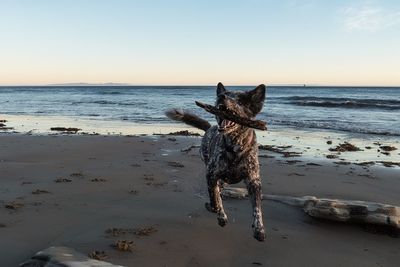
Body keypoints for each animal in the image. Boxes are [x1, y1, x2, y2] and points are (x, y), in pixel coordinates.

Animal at [166, 82, 266, 242]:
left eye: (240, 100)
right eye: (226, 94)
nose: (221, 96)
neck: (234, 147)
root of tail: (209, 128)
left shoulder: (254, 180)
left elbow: (257, 207)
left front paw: (259, 228)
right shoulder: (211, 174)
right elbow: (215, 199)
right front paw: (218, 211)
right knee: (217, 192)